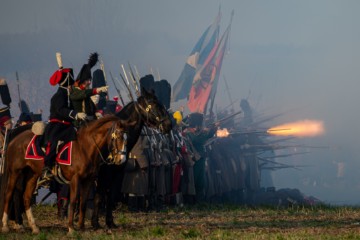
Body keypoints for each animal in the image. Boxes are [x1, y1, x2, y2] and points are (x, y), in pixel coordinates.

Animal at [0, 115, 133, 233]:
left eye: (127, 138)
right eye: (118, 137)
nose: (122, 160)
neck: (85, 148)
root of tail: (14, 140)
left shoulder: (87, 180)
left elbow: (83, 203)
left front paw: (81, 227)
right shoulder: (75, 179)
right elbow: (73, 201)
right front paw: (71, 228)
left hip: (32, 174)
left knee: (26, 197)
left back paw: (34, 227)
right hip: (15, 172)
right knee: (9, 194)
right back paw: (6, 225)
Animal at [91, 88, 173, 229]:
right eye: (154, 104)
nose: (169, 125)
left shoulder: (117, 173)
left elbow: (110, 196)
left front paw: (110, 222)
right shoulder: (104, 174)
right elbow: (99, 196)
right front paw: (95, 223)